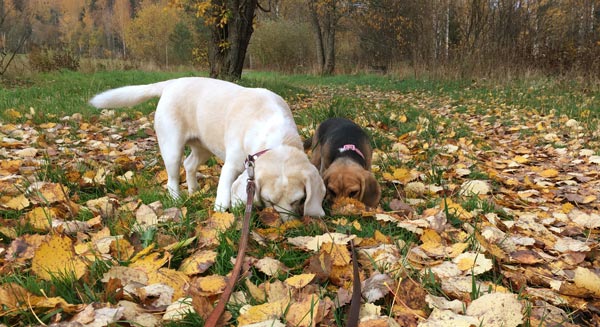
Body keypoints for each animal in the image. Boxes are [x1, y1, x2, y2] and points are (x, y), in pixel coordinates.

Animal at [89, 77, 324, 220]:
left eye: (298, 200)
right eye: (268, 201)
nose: (286, 224)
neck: (277, 139)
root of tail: (171, 83)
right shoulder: (233, 164)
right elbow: (224, 189)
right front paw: (221, 209)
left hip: (203, 149)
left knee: (189, 164)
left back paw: (193, 190)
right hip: (172, 147)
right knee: (172, 178)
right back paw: (177, 198)